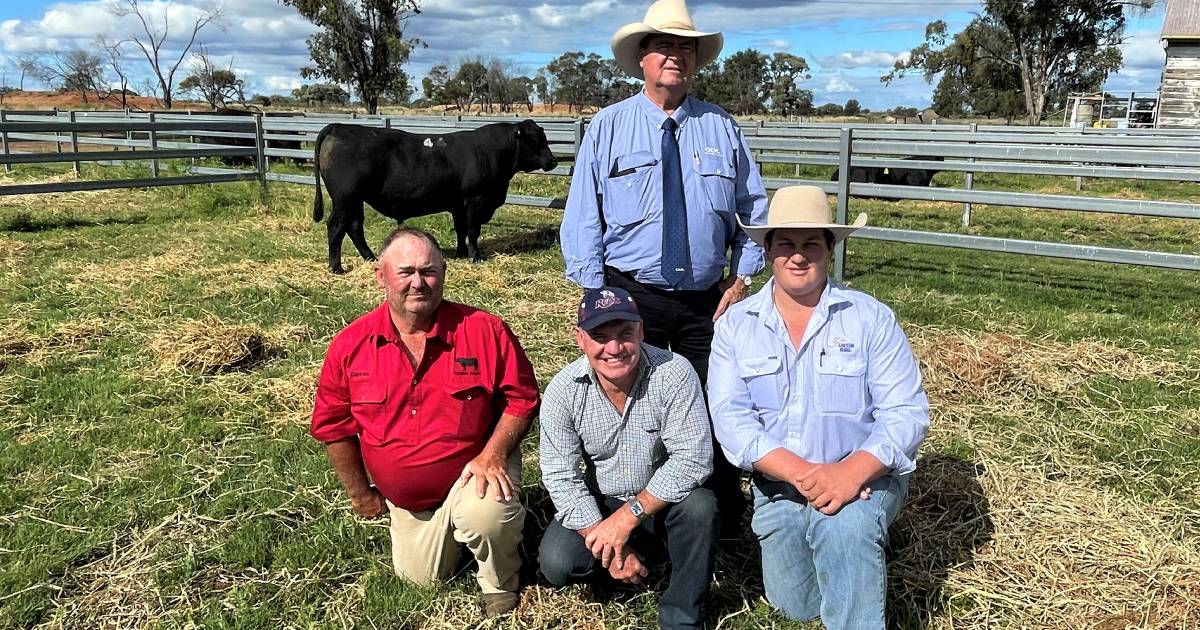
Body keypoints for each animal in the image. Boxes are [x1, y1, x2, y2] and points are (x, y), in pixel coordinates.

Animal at [307, 120, 554, 272]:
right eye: (535, 140)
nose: (553, 161)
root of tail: (339, 127)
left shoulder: (458, 205)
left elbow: (460, 229)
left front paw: (461, 253)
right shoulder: (476, 201)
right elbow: (472, 231)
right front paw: (475, 256)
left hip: (355, 201)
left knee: (355, 227)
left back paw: (371, 258)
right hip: (345, 199)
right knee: (336, 226)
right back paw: (336, 267)